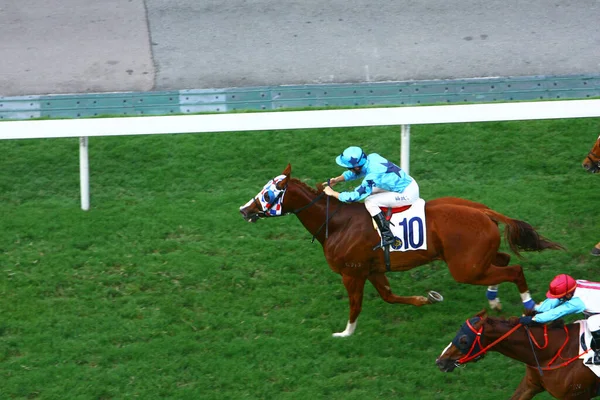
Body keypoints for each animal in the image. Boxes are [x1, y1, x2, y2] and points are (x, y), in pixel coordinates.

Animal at [238, 164, 564, 336]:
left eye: (268, 192)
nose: (244, 210)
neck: (337, 222)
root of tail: (483, 211)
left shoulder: (351, 273)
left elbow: (356, 305)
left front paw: (345, 333)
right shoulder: (372, 269)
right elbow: (389, 296)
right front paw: (425, 299)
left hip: (465, 268)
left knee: (515, 269)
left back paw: (531, 307)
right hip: (477, 260)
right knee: (504, 259)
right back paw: (494, 300)